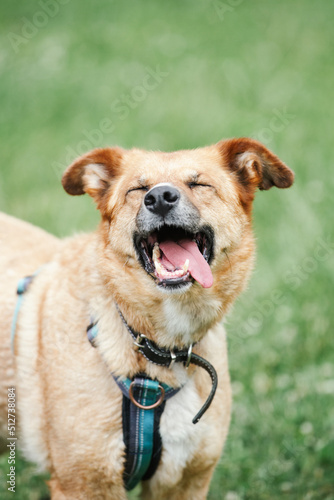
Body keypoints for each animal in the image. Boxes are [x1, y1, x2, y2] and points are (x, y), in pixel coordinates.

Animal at [0, 138, 292, 500]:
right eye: (138, 190)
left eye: (199, 184)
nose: (160, 198)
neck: (161, 351)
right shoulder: (83, 484)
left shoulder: (183, 483)